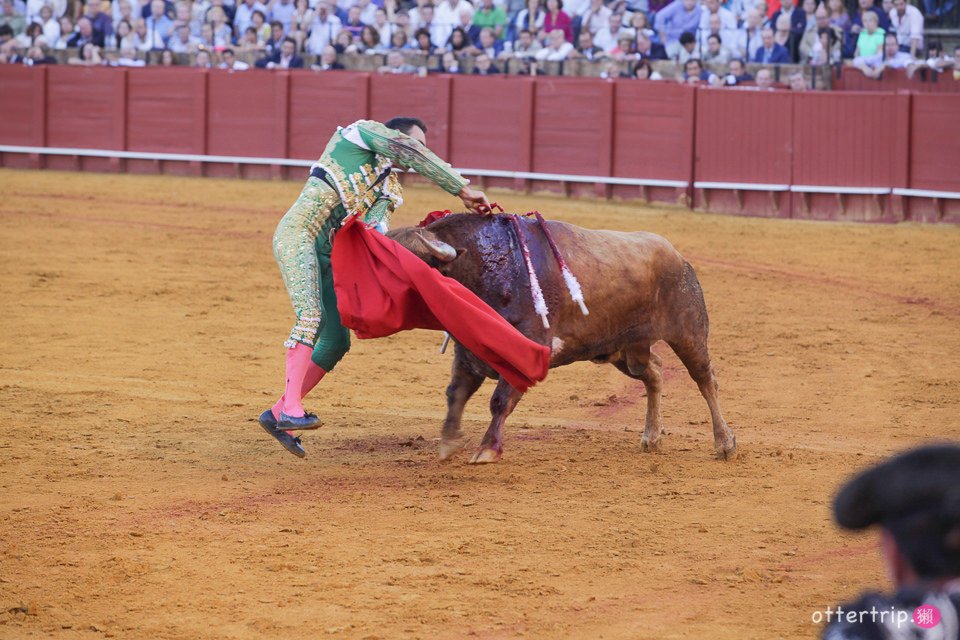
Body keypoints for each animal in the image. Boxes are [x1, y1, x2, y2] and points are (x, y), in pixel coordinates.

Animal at [386, 215, 740, 464]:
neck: (487, 267)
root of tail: (678, 256)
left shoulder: (523, 352)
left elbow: (499, 400)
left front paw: (487, 450)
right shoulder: (468, 353)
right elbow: (455, 394)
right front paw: (448, 442)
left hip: (688, 332)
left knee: (705, 379)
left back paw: (725, 443)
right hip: (623, 349)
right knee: (653, 373)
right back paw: (651, 437)